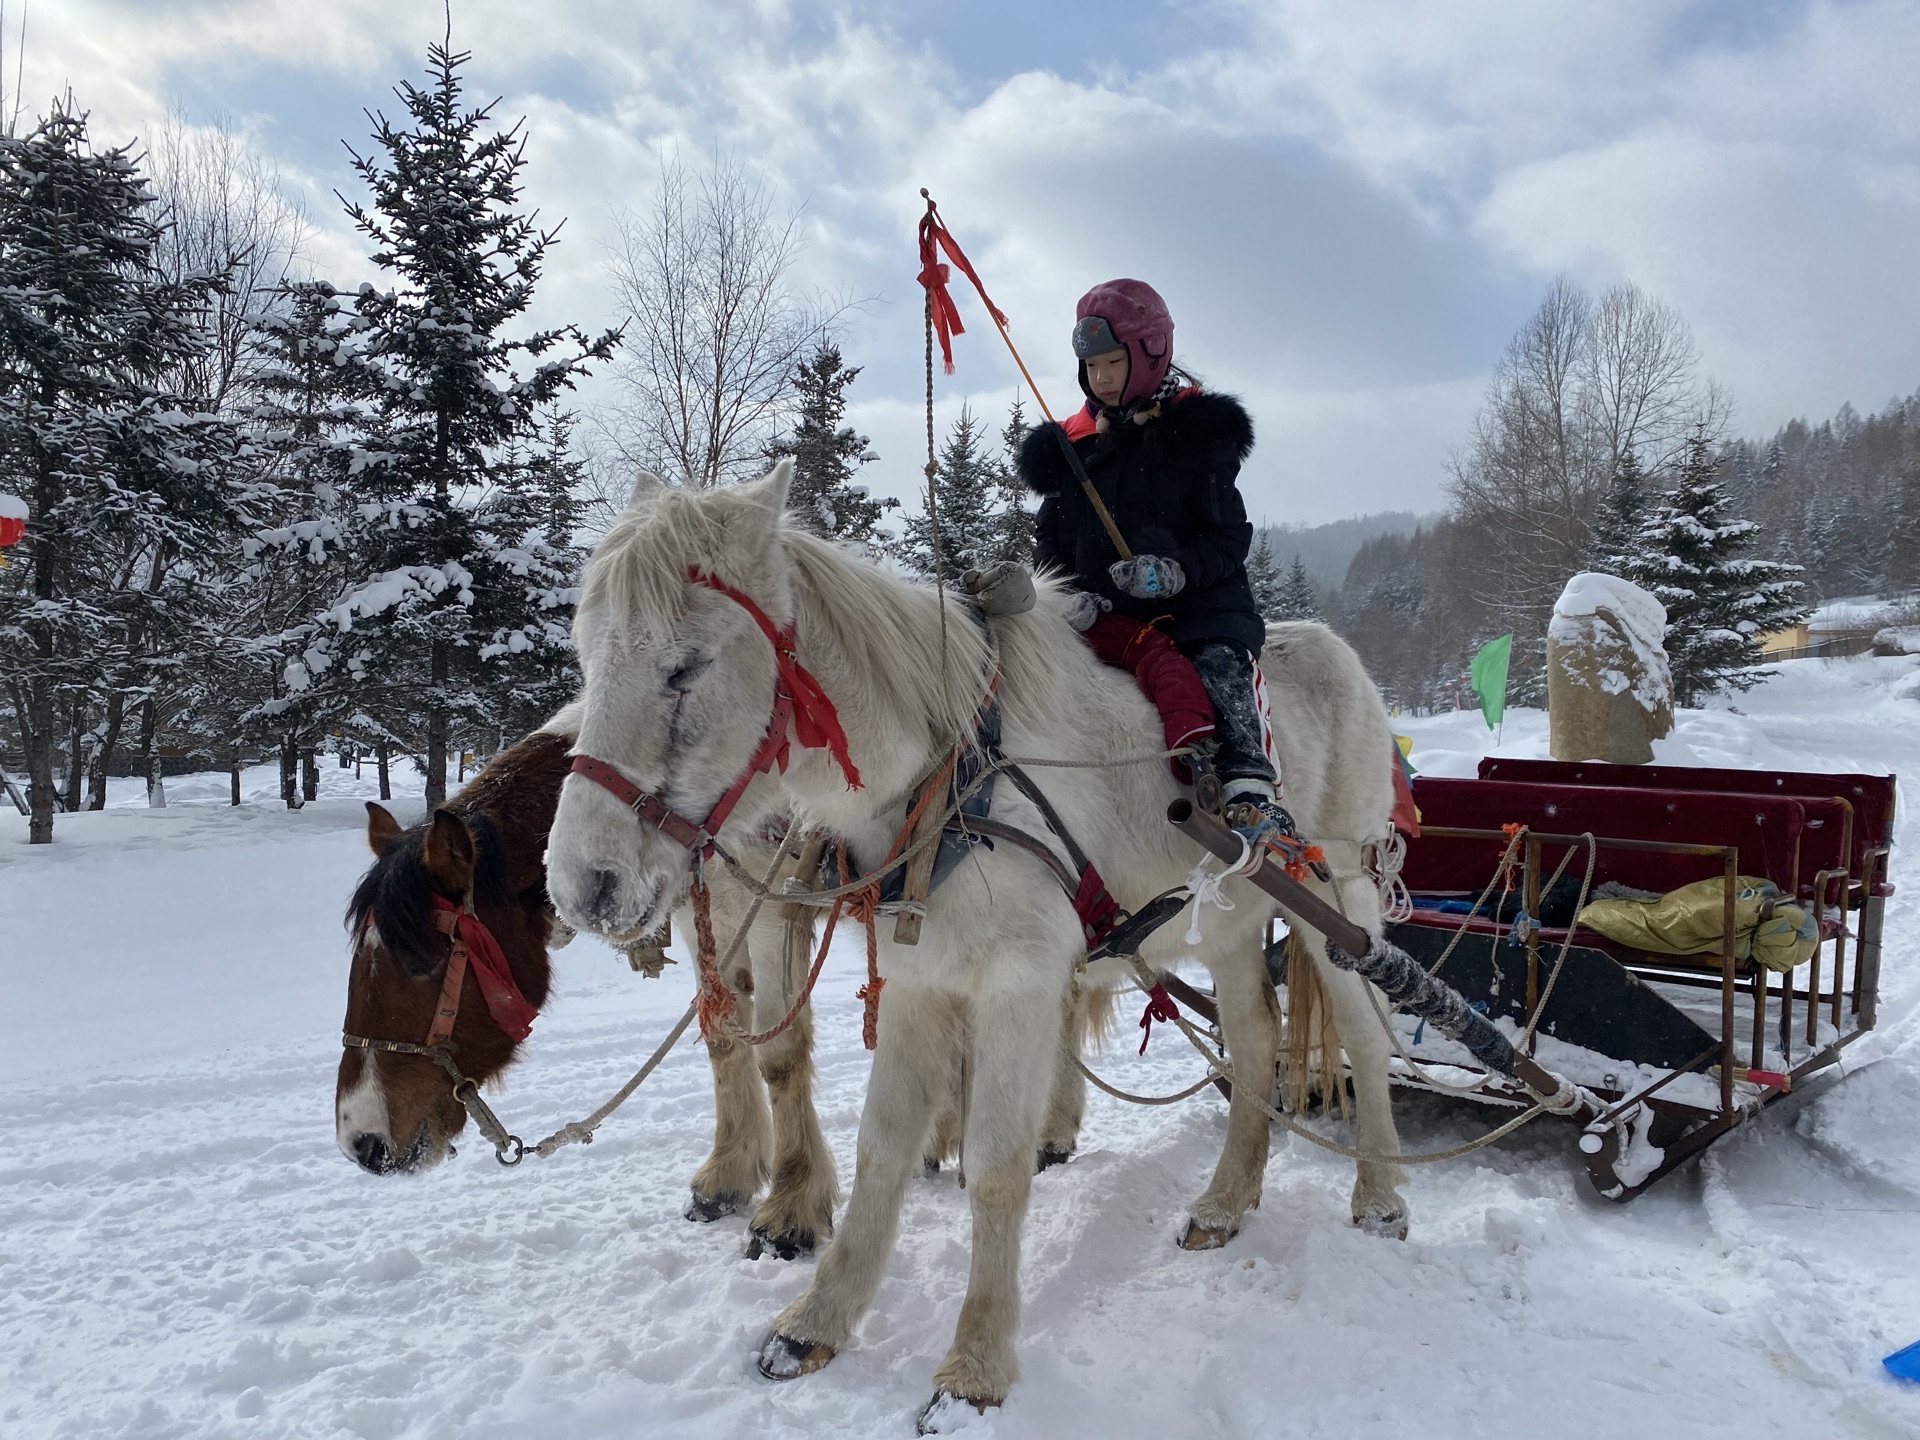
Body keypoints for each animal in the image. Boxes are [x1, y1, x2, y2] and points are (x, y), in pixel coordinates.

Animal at [336, 725, 840, 1259]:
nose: (360, 1142)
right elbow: (724, 1043)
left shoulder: (771, 918)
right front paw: (726, 1180)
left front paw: (790, 1212)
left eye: (419, 962)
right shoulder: (710, 921)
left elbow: (778, 1056)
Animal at [549, 464, 1405, 1420]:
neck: (954, 772)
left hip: (1339, 897)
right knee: (1255, 1037)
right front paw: (817, 1321)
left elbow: (997, 1167)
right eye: (587, 660)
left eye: (685, 666)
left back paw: (1378, 1192)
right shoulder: (920, 984)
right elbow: (881, 1147)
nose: (582, 886)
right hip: (1222, 923)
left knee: (1365, 1029)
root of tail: (1334, 647)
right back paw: (1226, 1201)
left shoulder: (1019, 985)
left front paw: (975, 1365)